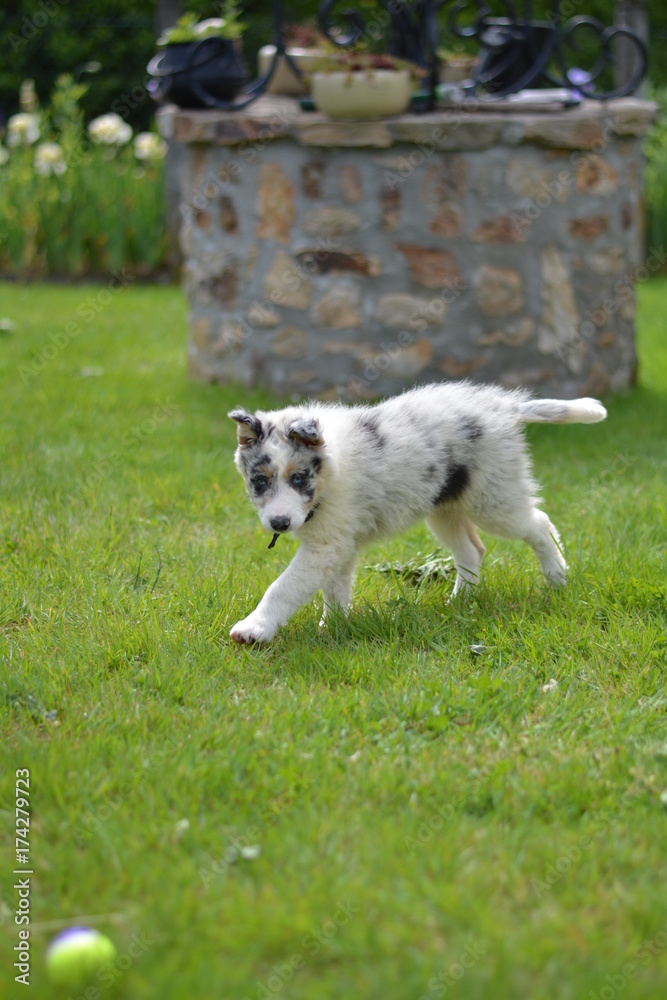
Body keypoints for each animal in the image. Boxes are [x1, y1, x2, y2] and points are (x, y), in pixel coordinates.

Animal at [227, 378, 608, 644]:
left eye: (299, 478)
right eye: (259, 481)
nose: (279, 522)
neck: (328, 473)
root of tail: (504, 406)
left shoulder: (326, 544)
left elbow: (284, 586)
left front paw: (254, 628)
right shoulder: (337, 542)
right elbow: (335, 587)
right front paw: (332, 625)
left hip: (493, 499)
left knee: (539, 524)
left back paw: (557, 576)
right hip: (445, 508)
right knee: (472, 550)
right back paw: (459, 602)